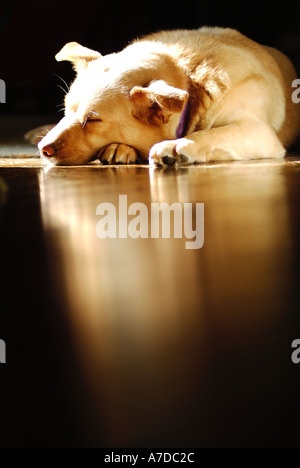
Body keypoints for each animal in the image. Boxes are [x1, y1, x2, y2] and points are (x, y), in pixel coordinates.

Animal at [31, 27, 298, 166]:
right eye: (66, 110)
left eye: (93, 120)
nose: (43, 149)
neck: (190, 78)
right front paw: (119, 148)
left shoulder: (258, 131)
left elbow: (208, 134)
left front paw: (176, 145)